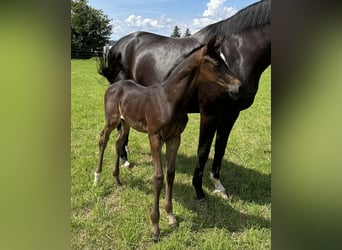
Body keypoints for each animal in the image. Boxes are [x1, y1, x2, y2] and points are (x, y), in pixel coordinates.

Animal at [94, 37, 240, 242]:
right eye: (216, 63)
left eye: (225, 60)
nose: (238, 86)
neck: (169, 99)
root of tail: (113, 86)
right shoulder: (154, 138)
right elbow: (158, 177)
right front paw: (155, 228)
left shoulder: (174, 138)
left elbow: (170, 173)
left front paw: (171, 216)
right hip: (111, 119)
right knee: (103, 139)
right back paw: (97, 177)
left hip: (126, 122)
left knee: (118, 142)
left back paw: (117, 179)